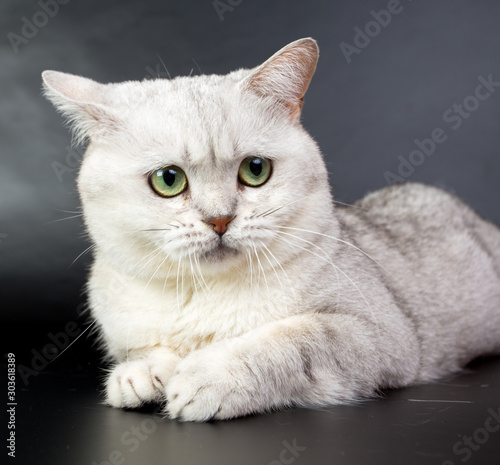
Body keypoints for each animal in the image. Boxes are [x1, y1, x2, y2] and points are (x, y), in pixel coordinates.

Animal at [43, 38, 500, 418]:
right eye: (168, 179)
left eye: (255, 170)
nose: (220, 218)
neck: (204, 293)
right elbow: (150, 349)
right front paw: (140, 375)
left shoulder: (378, 334)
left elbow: (289, 341)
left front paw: (206, 377)